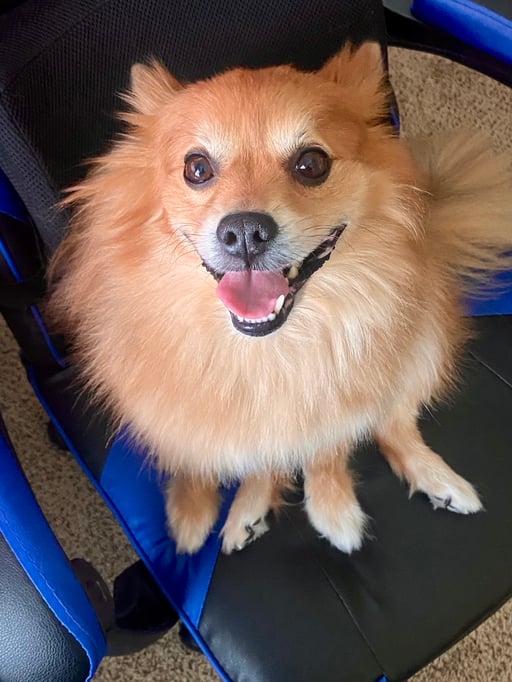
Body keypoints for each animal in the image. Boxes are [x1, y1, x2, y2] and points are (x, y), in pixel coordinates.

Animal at [47, 42, 512, 555]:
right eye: (196, 168)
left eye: (311, 164)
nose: (245, 231)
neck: (266, 353)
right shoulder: (170, 410)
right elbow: (198, 454)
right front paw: (192, 509)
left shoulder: (334, 407)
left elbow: (324, 453)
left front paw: (329, 507)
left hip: (422, 346)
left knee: (396, 422)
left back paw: (437, 479)